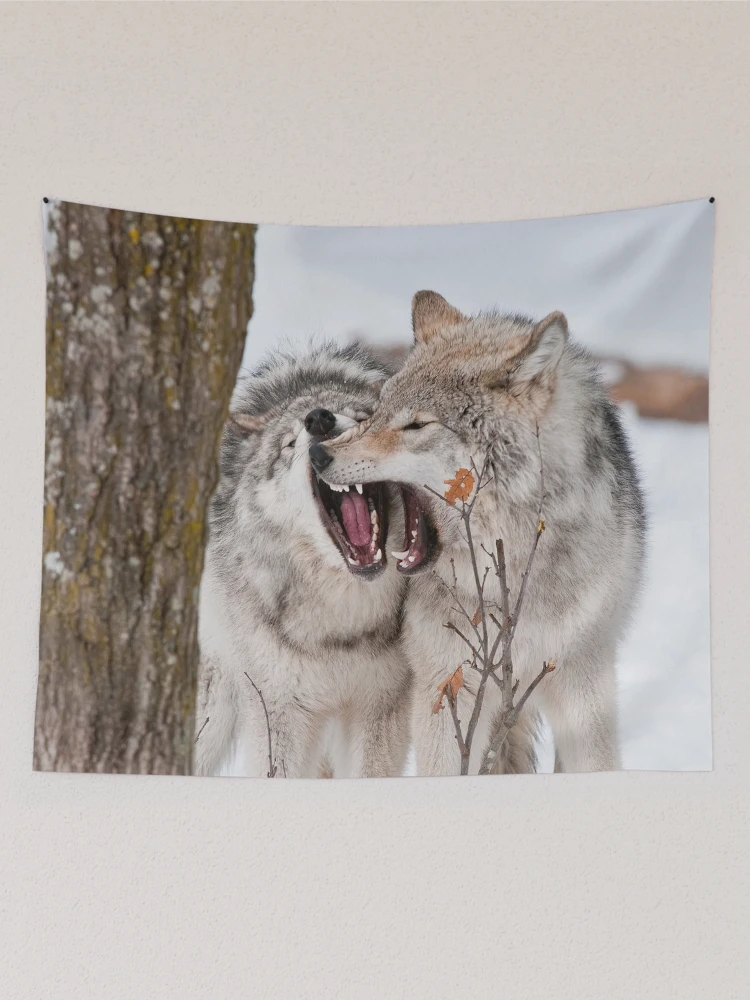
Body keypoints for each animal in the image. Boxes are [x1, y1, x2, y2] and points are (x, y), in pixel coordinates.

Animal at [195, 342, 412, 778]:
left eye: (363, 420)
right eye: (290, 444)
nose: (319, 419)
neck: (343, 618)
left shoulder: (382, 705)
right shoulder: (280, 710)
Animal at [310, 291, 646, 774]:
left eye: (416, 425)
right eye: (377, 412)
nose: (318, 454)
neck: (519, 565)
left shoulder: (583, 682)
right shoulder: (446, 684)